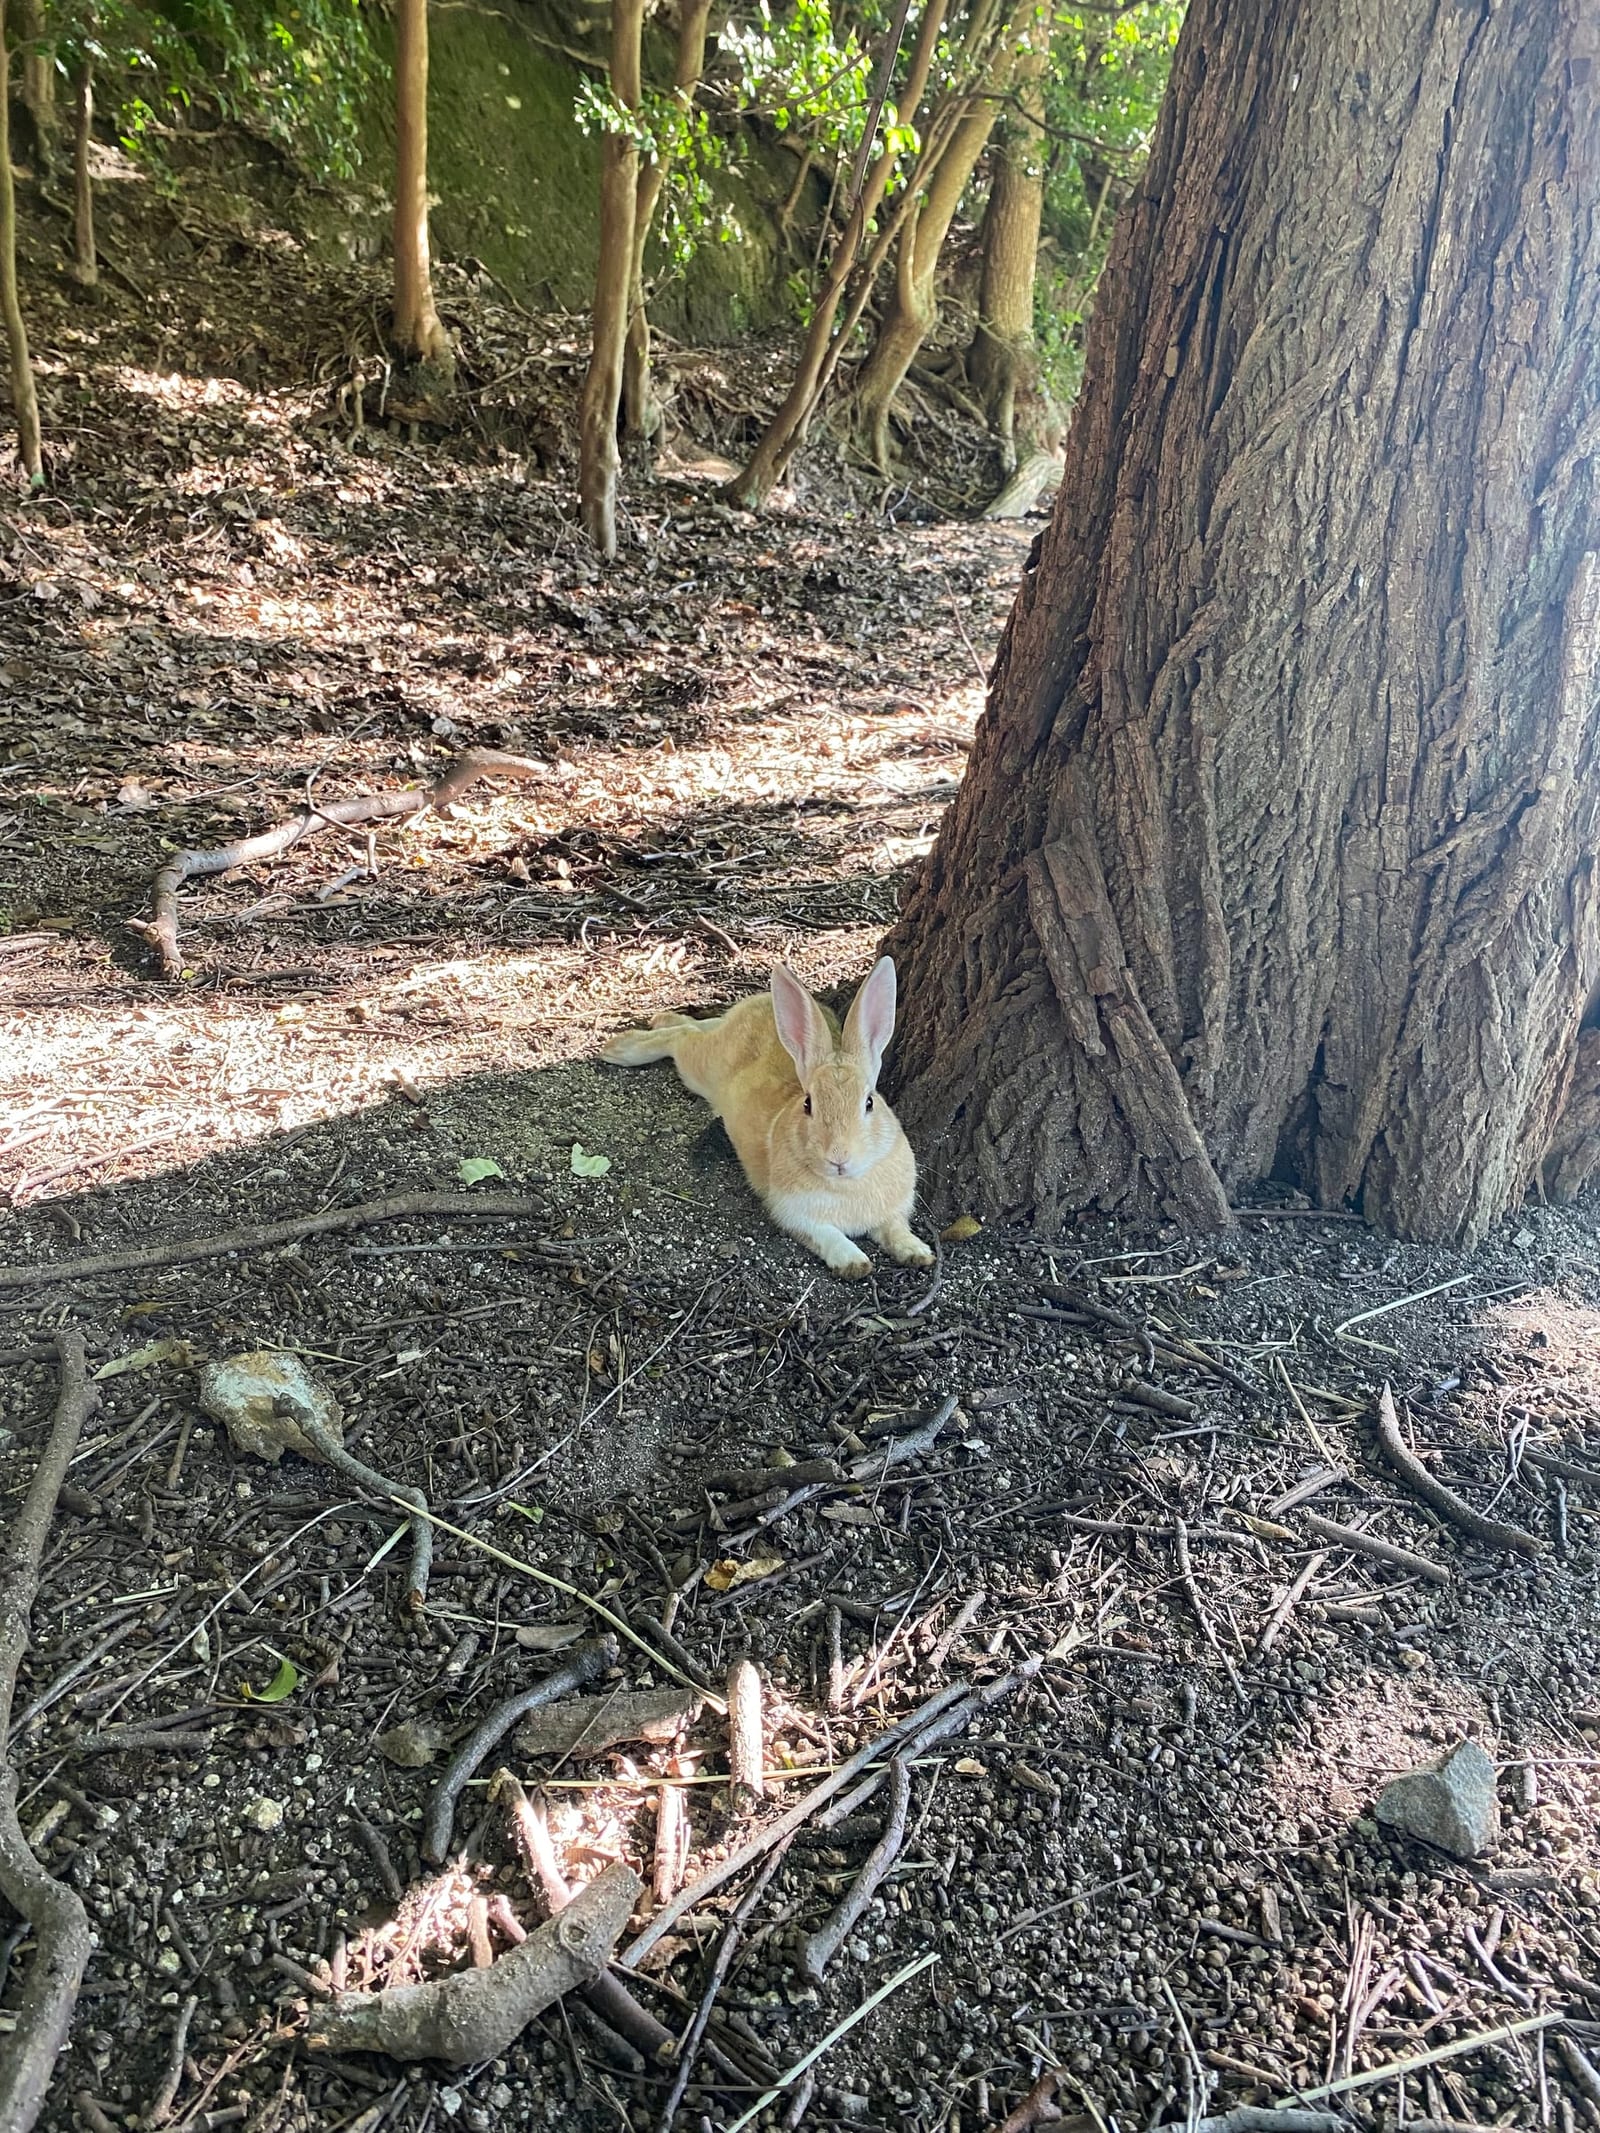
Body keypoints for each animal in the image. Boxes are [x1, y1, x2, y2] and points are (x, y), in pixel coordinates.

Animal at [600, 957, 933, 1279]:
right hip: (700, 1067)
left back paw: (665, 1019)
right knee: (682, 1039)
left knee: (694, 1028)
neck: (847, 1182)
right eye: (808, 1104)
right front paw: (853, 1262)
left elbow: (896, 1229)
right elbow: (828, 1235)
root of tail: (756, 1004)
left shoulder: (894, 1211)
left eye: (869, 1102)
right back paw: (620, 1048)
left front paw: (918, 1252)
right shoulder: (793, 1212)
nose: (839, 1158)